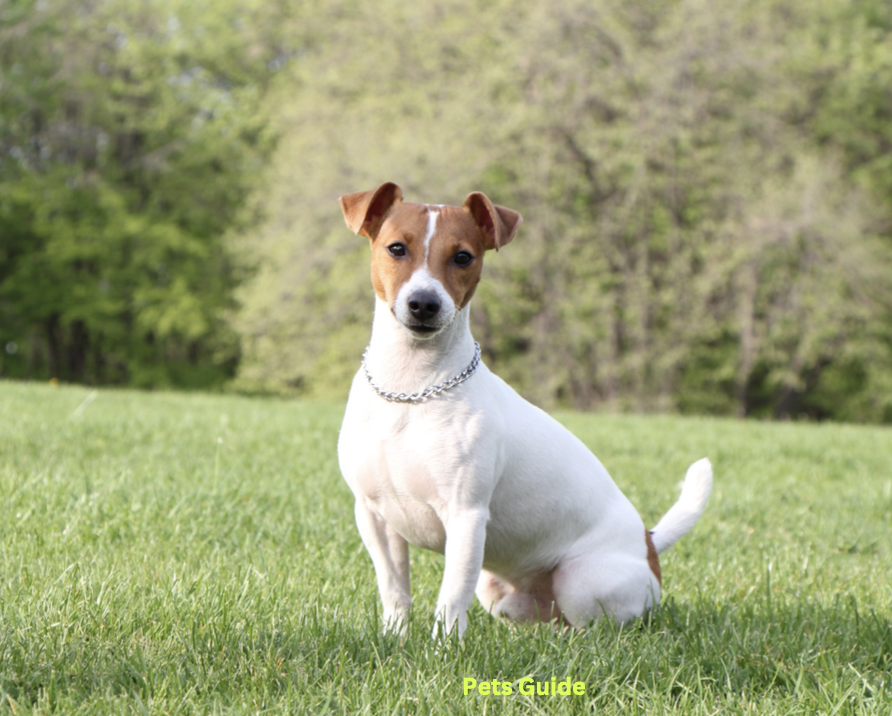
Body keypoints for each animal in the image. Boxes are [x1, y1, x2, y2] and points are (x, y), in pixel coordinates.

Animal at [334, 182, 712, 636]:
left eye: (463, 256)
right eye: (396, 248)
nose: (424, 303)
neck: (413, 386)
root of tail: (649, 544)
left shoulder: (466, 517)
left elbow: (450, 599)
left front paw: (443, 647)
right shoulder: (374, 517)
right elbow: (394, 592)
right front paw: (395, 639)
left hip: (580, 582)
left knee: (593, 627)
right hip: (496, 590)